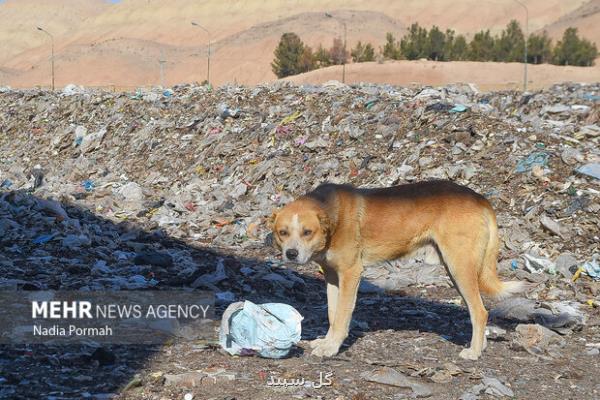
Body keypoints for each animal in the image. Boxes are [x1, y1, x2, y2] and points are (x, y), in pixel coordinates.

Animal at [270, 180, 524, 360]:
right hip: (455, 269)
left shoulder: (351, 274)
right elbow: (333, 314)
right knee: (477, 310)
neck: (333, 218)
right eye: (283, 232)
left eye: (307, 232)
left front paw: (332, 348)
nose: (291, 254)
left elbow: (342, 316)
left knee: (480, 311)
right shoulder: (332, 276)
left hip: (459, 266)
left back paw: (473, 352)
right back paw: (480, 346)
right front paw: (326, 341)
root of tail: (479, 198)